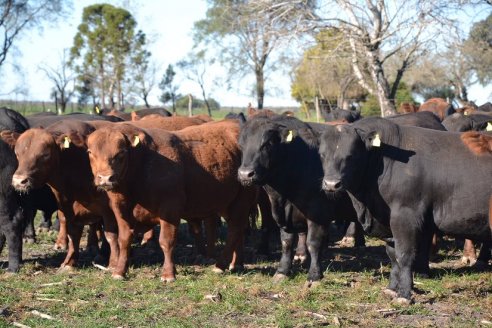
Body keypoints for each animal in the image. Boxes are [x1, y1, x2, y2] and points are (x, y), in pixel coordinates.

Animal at [87, 119, 258, 280]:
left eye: (121, 153)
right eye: (90, 152)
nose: (105, 178)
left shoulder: (169, 209)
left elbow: (166, 241)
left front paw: (168, 274)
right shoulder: (120, 210)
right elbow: (124, 240)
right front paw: (119, 271)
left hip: (242, 200)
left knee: (234, 230)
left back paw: (220, 265)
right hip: (228, 203)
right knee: (237, 231)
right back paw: (236, 263)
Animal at [320, 117, 492, 302]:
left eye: (351, 156)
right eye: (322, 154)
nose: (331, 184)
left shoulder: (405, 216)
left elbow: (404, 255)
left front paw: (404, 294)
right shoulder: (389, 221)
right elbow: (392, 255)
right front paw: (391, 288)